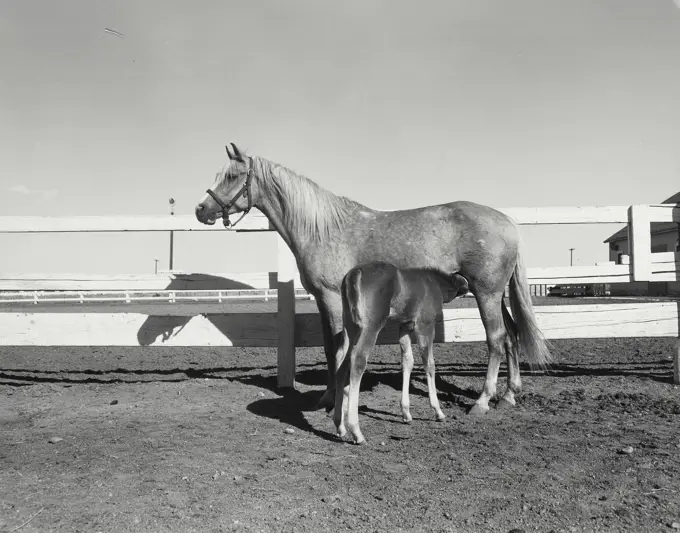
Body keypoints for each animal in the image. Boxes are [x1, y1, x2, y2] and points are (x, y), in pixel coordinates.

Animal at [195, 142, 552, 416]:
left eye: (232, 176)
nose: (201, 209)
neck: (323, 229)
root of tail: (507, 221)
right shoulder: (325, 301)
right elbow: (333, 348)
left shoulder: (331, 298)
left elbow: (336, 348)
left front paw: (331, 398)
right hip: (495, 294)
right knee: (512, 335)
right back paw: (508, 395)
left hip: (486, 294)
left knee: (496, 339)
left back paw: (482, 402)